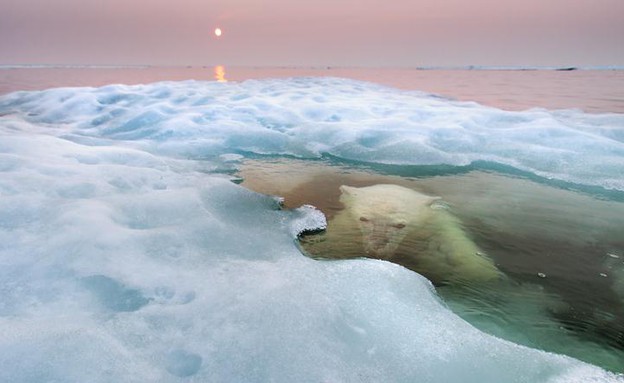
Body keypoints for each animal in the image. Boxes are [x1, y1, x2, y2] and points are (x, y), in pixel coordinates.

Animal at [304, 184, 504, 286]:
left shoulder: (436, 228)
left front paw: (482, 272)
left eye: (400, 224)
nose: (376, 250)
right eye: (364, 218)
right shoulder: (348, 227)